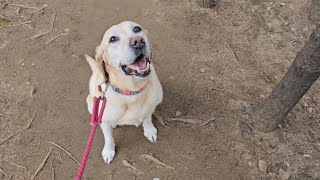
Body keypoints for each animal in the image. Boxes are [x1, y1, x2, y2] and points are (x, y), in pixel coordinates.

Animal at [84, 20, 162, 163]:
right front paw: (109, 151)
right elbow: (108, 137)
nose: (138, 41)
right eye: (112, 39)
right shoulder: (103, 119)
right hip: (91, 104)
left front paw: (149, 130)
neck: (132, 91)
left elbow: (147, 118)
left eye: (137, 29)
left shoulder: (151, 106)